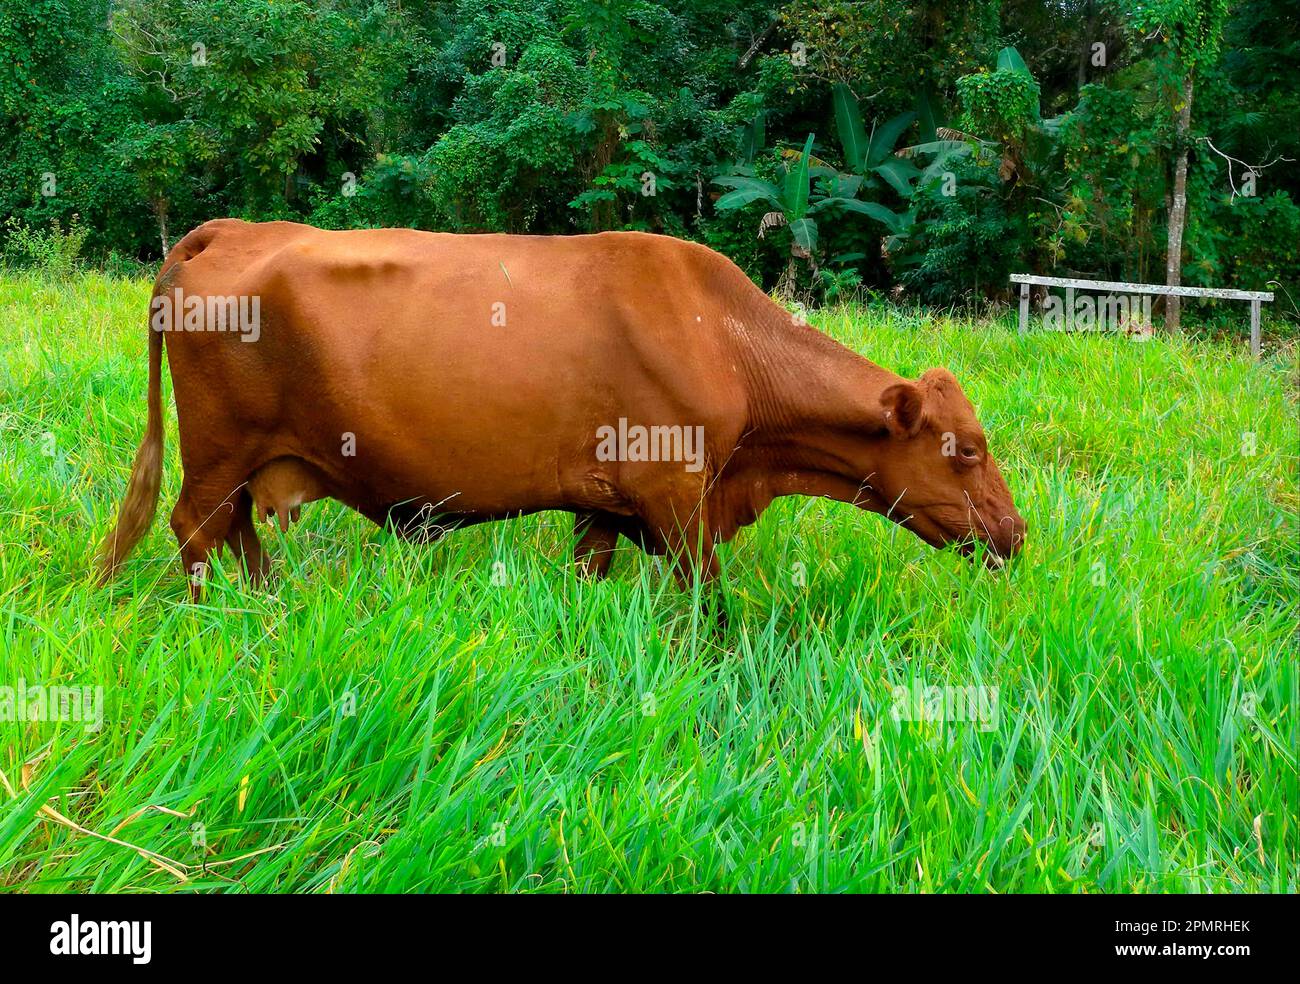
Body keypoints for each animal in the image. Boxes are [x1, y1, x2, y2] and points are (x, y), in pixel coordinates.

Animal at [96, 219, 1025, 601]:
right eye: (967, 448)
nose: (1016, 533)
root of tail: (229, 227)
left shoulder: (603, 502)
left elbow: (591, 574)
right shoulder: (676, 494)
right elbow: (710, 608)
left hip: (247, 457)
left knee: (236, 529)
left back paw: (268, 607)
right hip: (218, 447)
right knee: (194, 528)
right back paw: (221, 623)